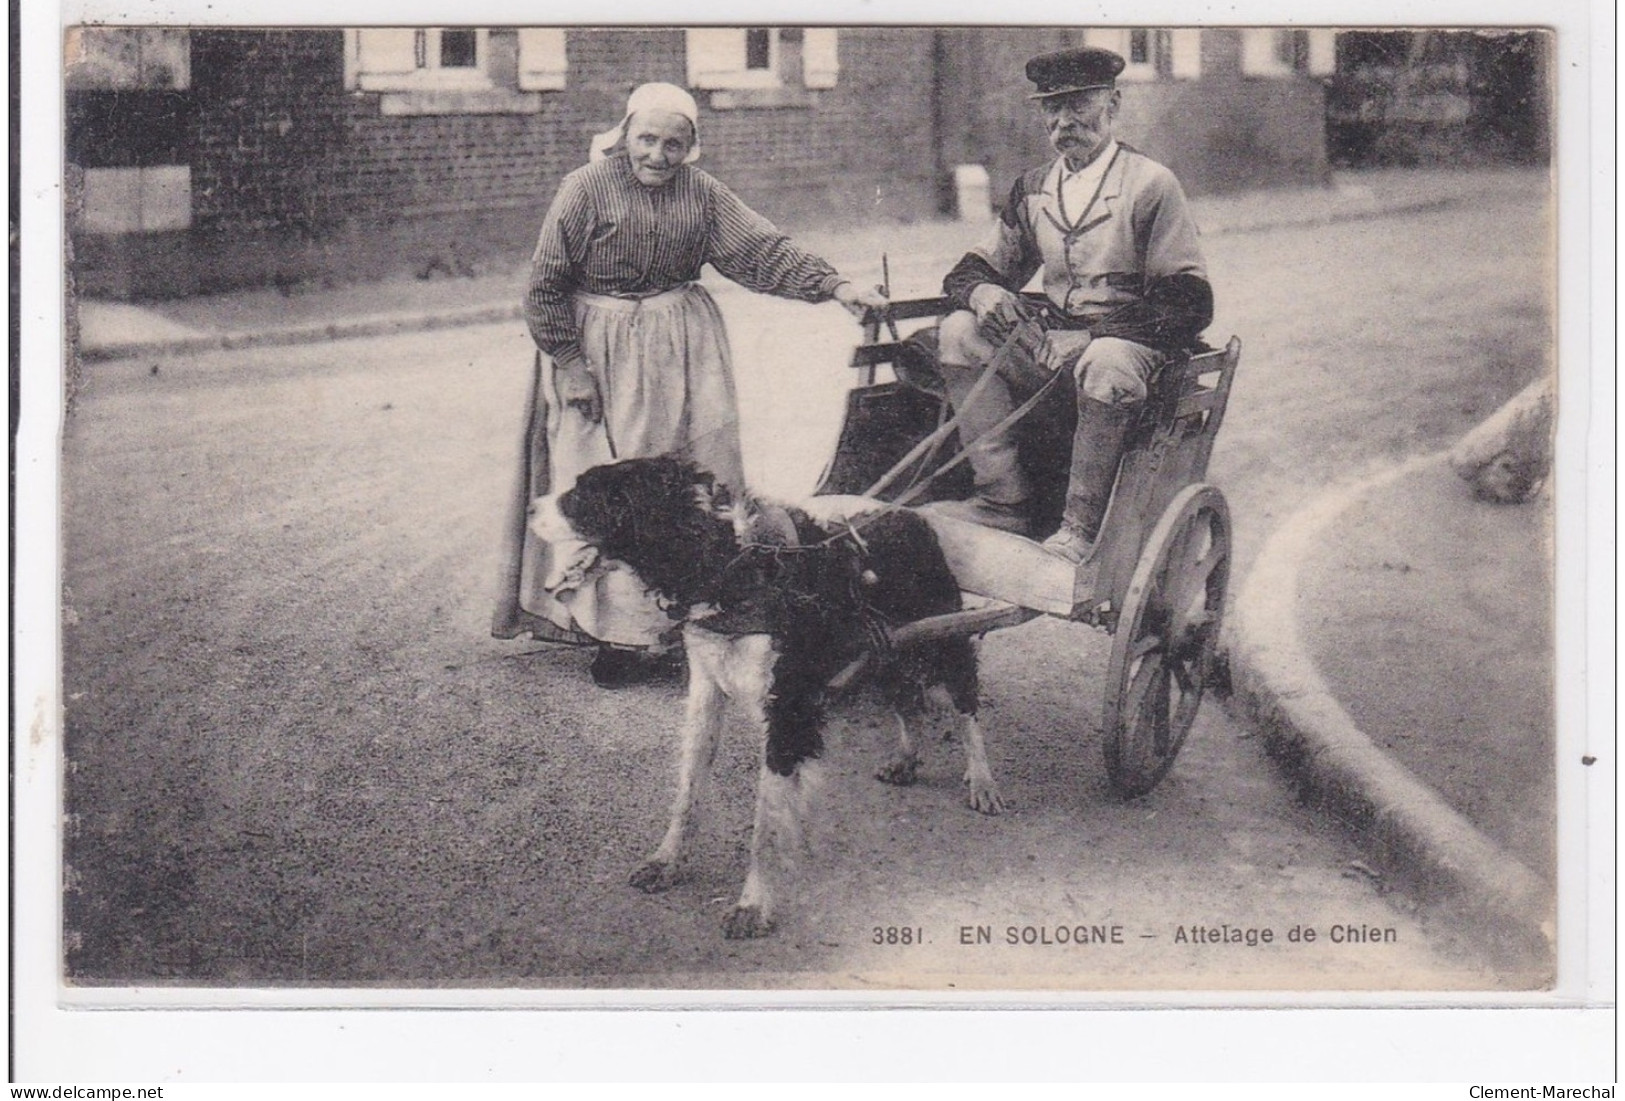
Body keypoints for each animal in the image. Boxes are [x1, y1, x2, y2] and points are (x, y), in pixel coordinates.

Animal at [529, 457, 1001, 941]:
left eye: (582, 496)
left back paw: (982, 782)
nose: (530, 506)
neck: (728, 568)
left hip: (942, 644)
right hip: (886, 648)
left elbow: (767, 822)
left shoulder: (788, 710)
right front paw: (667, 862)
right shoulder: (706, 691)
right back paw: (906, 760)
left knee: (965, 707)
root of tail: (914, 515)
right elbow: (688, 789)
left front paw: (753, 906)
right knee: (907, 701)